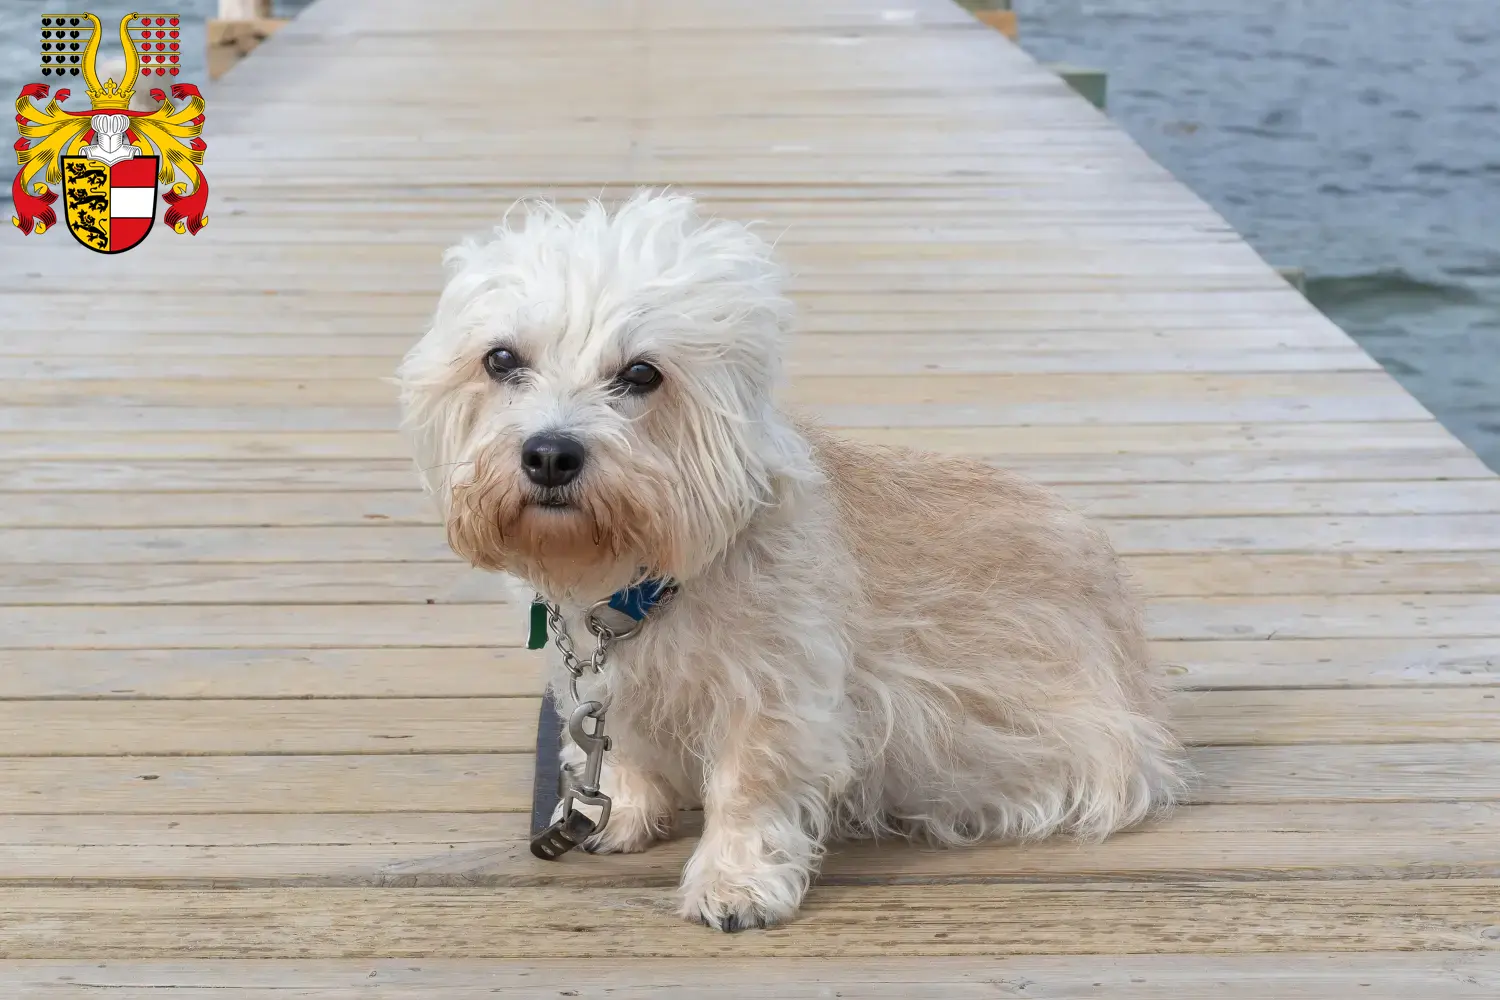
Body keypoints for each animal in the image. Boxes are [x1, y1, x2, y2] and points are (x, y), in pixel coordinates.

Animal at [396, 193, 1182, 929]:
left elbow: (747, 786)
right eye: (501, 360)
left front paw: (734, 883)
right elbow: (624, 748)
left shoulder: (775, 696)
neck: (644, 584)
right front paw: (620, 809)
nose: (550, 454)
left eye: (642, 373)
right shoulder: (601, 682)